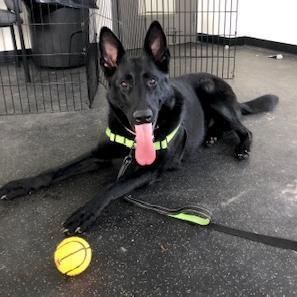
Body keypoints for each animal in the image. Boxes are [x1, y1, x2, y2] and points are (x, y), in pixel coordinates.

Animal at [0, 20, 278, 234]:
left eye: (152, 81)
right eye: (124, 84)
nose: (142, 117)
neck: (133, 140)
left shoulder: (150, 170)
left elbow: (112, 186)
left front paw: (84, 213)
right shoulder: (98, 155)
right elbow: (56, 170)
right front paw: (21, 184)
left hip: (213, 93)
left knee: (244, 129)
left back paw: (241, 147)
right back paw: (210, 137)